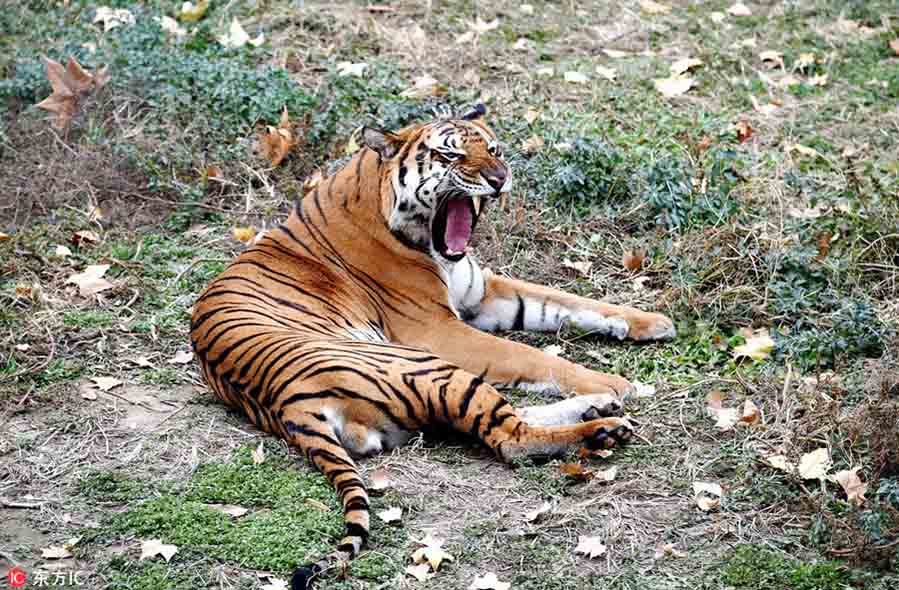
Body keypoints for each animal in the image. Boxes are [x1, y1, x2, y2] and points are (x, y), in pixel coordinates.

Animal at [190, 104, 675, 589]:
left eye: (494, 150)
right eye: (450, 155)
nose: (500, 178)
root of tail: (288, 404)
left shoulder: (485, 293)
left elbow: (563, 301)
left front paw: (651, 322)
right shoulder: (438, 329)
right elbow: (532, 356)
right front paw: (615, 382)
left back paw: (598, 410)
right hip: (425, 363)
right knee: (509, 437)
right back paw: (603, 424)